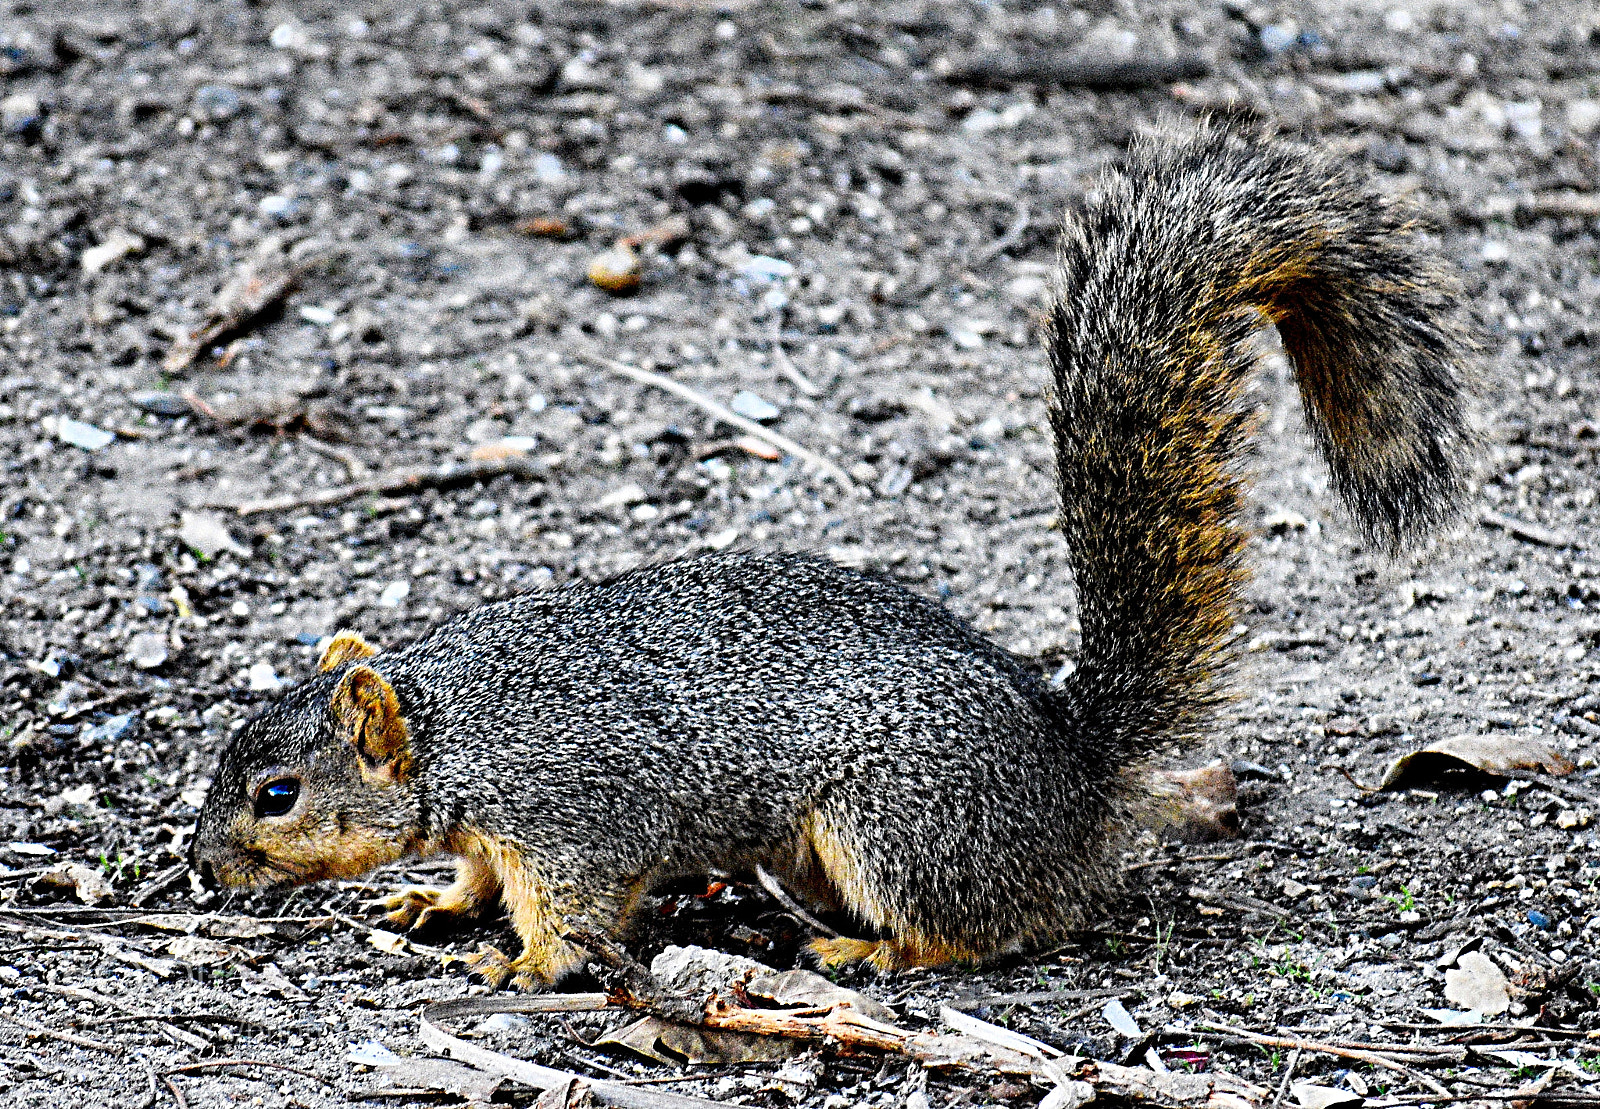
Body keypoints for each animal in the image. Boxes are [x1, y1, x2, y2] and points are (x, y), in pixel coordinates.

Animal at [190, 123, 1473, 989]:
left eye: (275, 792)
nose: (205, 871)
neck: (453, 726)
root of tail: (1073, 768)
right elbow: (475, 874)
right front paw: (434, 899)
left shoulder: (574, 810)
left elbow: (572, 908)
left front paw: (520, 966)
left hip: (894, 817)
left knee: (998, 925)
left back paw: (878, 954)